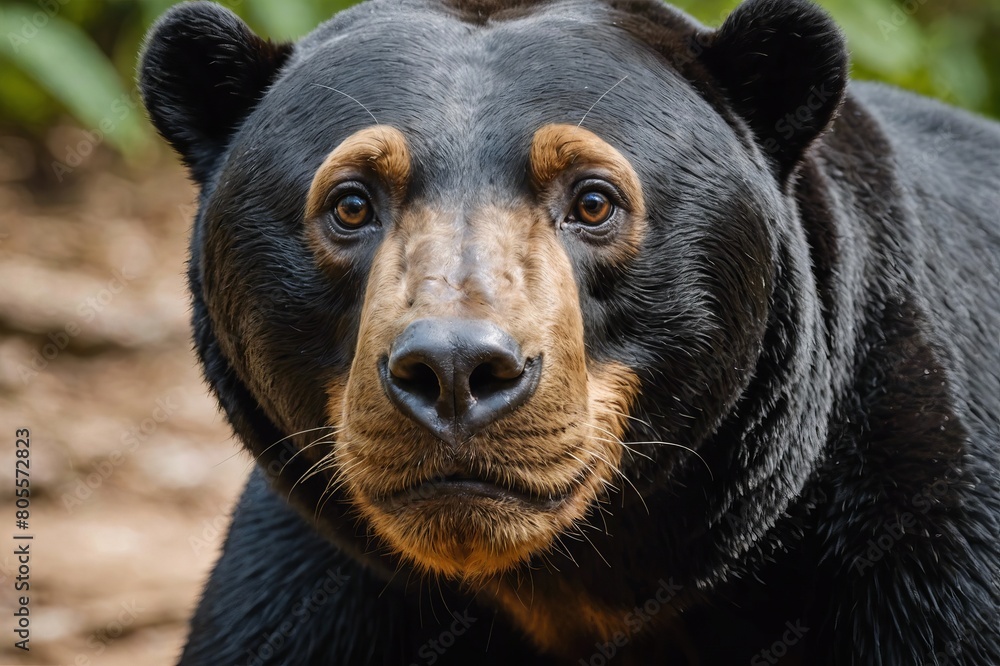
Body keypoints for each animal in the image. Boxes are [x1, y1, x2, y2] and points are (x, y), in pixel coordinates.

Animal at [138, 0, 1000, 663]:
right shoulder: (307, 593)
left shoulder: (924, 541)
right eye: (350, 203)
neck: (571, 588)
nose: (456, 370)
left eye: (593, 200)